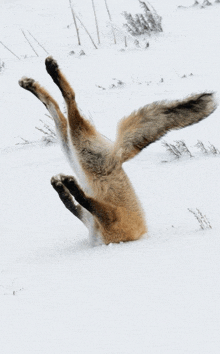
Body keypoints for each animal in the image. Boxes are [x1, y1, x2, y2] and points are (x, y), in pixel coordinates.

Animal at [18, 57, 217, 246]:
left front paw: (68, 186)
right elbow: (71, 203)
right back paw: (33, 83)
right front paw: (62, 187)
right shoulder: (95, 219)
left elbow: (80, 201)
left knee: (69, 100)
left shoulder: (110, 218)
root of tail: (118, 156)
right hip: (73, 149)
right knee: (56, 107)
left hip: (79, 148)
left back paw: (50, 72)